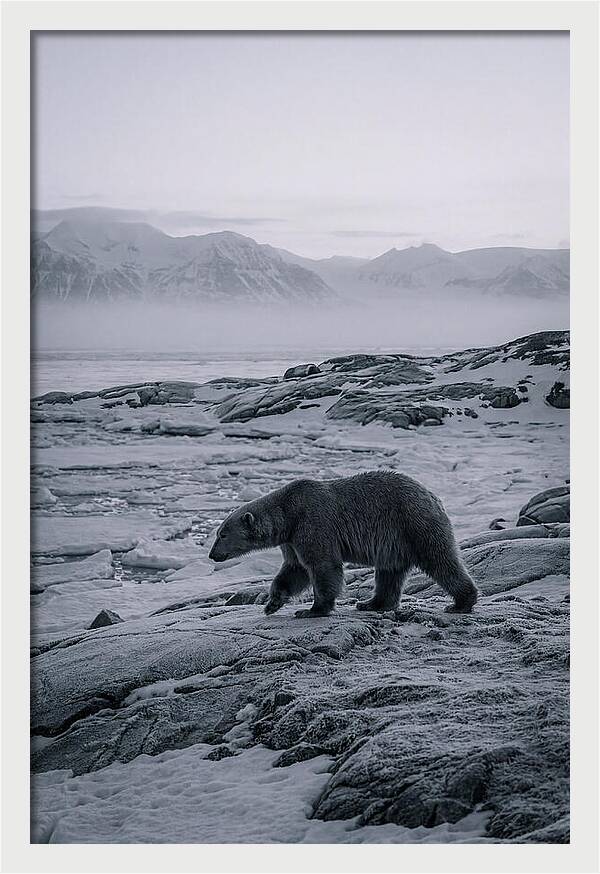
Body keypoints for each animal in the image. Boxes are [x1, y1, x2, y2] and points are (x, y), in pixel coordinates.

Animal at [208, 470, 478, 619]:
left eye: (222, 534)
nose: (212, 555)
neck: (288, 513)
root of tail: (433, 496)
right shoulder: (292, 539)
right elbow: (294, 569)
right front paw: (272, 603)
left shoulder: (313, 522)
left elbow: (322, 565)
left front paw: (312, 609)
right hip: (395, 541)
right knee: (389, 573)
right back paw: (371, 603)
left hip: (414, 523)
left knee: (440, 559)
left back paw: (461, 602)